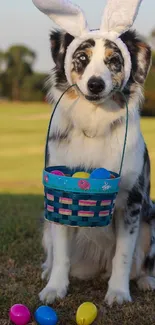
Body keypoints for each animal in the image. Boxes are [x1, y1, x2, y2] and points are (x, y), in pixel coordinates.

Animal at [39, 29, 155, 306]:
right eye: (82, 58)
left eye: (115, 61)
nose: (95, 84)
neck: (94, 120)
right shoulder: (60, 196)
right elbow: (61, 253)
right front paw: (55, 287)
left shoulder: (132, 202)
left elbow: (123, 254)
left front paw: (119, 292)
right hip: (45, 224)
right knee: (52, 253)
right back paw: (47, 270)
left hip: (151, 220)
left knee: (143, 263)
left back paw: (146, 280)